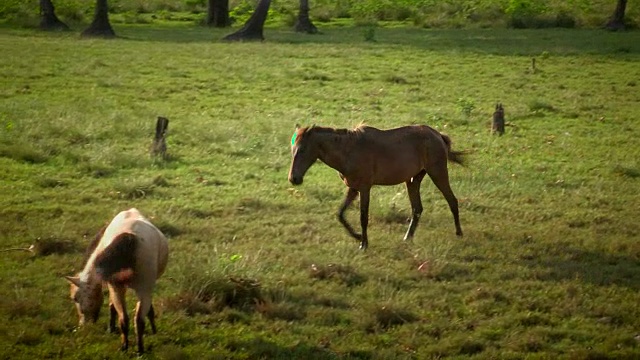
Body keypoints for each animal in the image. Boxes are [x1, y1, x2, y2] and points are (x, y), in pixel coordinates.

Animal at [65, 208, 168, 354]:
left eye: (75, 298)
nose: (84, 325)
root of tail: (130, 237)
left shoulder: (112, 284)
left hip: (133, 288)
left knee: (131, 318)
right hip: (140, 289)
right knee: (133, 320)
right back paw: (135, 349)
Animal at [290, 124, 464, 250]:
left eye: (302, 149)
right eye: (292, 149)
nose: (294, 179)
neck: (349, 151)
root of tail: (438, 135)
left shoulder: (365, 188)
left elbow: (363, 217)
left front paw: (363, 244)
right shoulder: (353, 188)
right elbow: (340, 214)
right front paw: (358, 237)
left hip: (437, 172)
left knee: (452, 201)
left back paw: (459, 234)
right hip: (413, 180)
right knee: (417, 209)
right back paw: (407, 237)